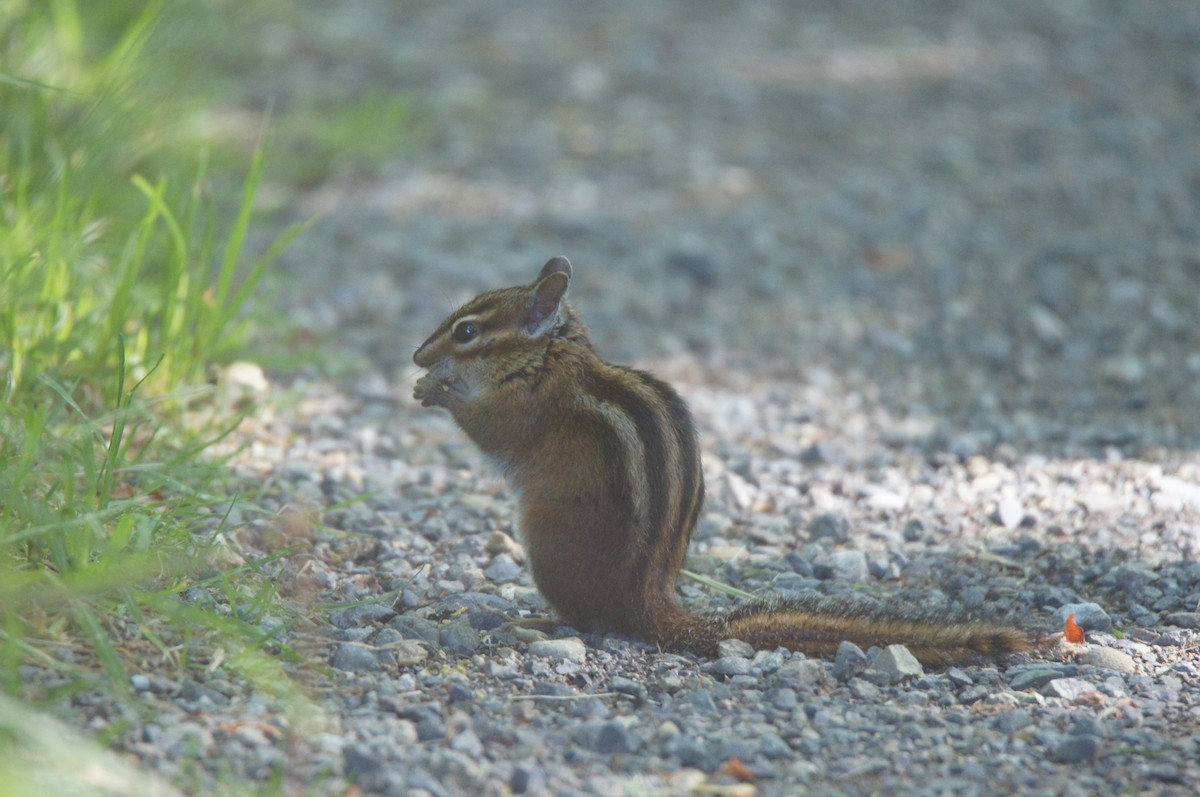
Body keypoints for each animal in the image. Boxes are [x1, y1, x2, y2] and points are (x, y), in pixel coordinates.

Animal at [413, 257, 1033, 666]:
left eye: (467, 331)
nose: (417, 356)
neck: (549, 352)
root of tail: (649, 601)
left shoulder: (530, 405)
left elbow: (491, 429)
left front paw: (435, 391)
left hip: (545, 541)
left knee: (585, 619)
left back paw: (533, 618)